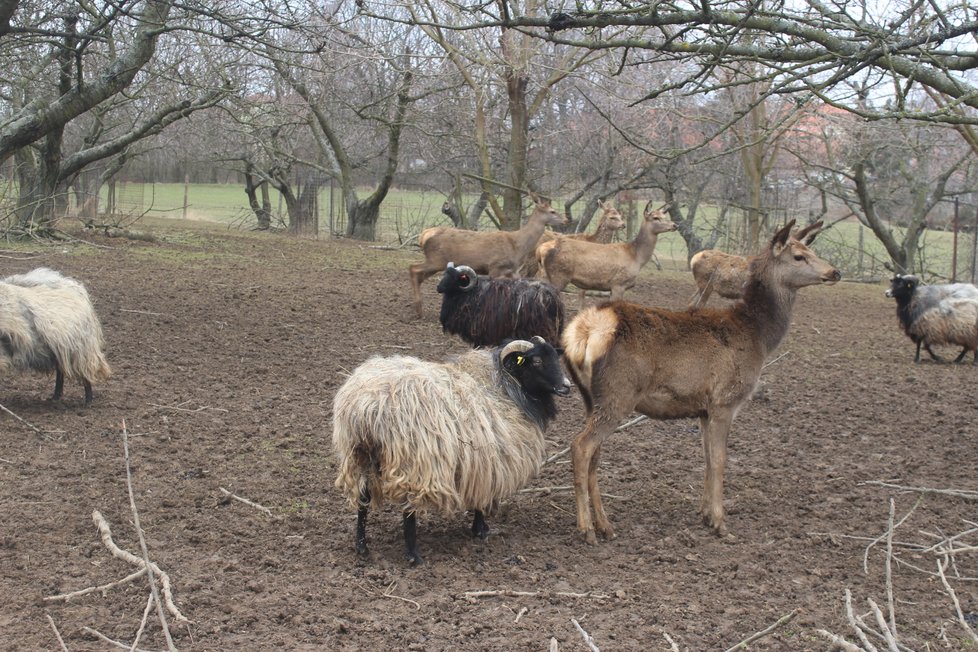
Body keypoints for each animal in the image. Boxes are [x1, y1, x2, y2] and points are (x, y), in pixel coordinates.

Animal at [0, 266, 110, 402]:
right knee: (60, 372)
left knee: (85, 375)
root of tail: (77, 288)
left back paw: (88, 401)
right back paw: (56, 397)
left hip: (81, 350)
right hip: (60, 348)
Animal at [330, 336, 568, 564]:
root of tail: (367, 407)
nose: (566, 386)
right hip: (415, 461)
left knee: (363, 500)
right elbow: (482, 499)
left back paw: (362, 547)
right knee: (409, 507)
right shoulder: (489, 461)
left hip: (360, 457)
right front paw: (480, 531)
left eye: (554, 357)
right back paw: (414, 556)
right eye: (536, 361)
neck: (506, 387)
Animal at [410, 192, 564, 318]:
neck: (517, 246)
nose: (565, 220)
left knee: (418, 274)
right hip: (436, 260)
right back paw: (418, 309)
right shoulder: (495, 267)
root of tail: (424, 235)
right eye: (552, 211)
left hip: (436, 262)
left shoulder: (513, 271)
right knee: (413, 268)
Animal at [434, 262, 564, 348]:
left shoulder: (479, 333)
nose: (438, 288)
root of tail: (553, 297)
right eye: (445, 274)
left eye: (455, 277)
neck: (471, 292)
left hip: (541, 329)